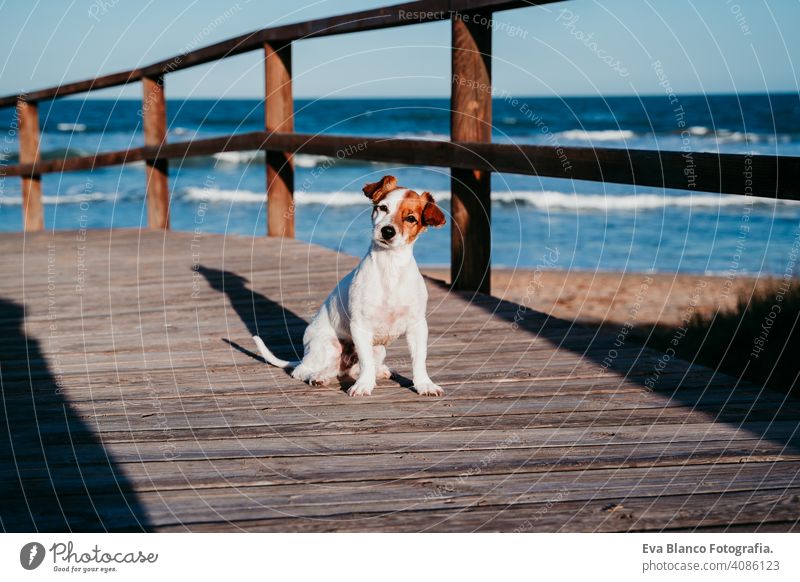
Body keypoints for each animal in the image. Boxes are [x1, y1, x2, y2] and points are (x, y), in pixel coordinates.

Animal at [253, 176, 446, 400]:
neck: (390, 267)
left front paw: (424, 384)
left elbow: (419, 359)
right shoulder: (360, 326)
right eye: (383, 207)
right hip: (327, 347)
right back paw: (317, 377)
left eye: (411, 218)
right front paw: (363, 386)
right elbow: (365, 363)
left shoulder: (417, 326)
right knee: (303, 370)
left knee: (355, 368)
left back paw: (379, 371)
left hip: (378, 349)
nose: (387, 231)